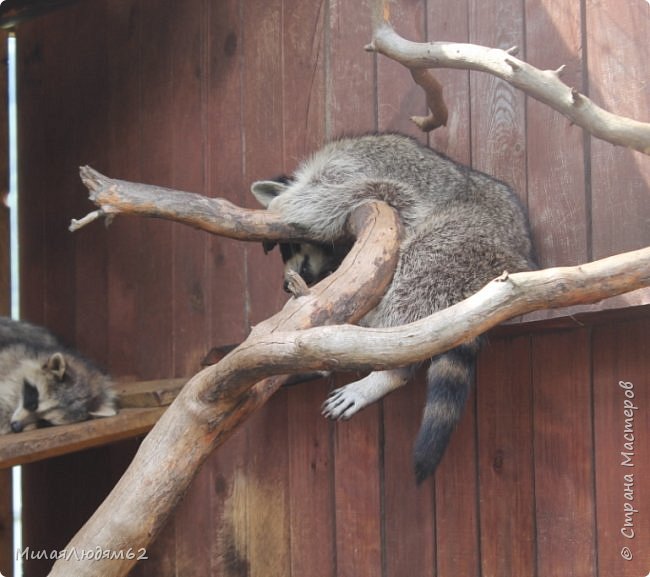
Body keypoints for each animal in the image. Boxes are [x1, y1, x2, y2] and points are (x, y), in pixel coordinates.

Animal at [251, 132, 536, 482]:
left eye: (292, 245)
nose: (284, 282)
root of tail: (518, 257)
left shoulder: (357, 173)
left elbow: (337, 195)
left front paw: (283, 202)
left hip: (463, 240)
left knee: (417, 268)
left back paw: (386, 371)